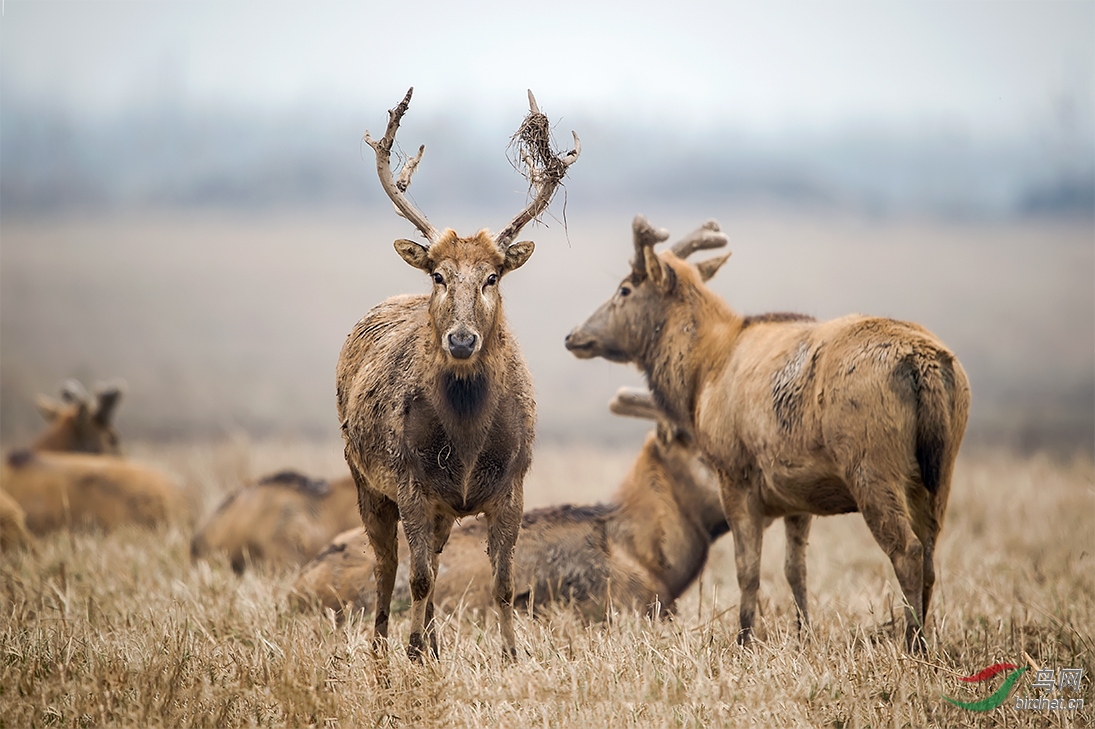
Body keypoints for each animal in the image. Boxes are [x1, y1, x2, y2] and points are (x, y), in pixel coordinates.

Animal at [335, 86, 578, 656]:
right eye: (439, 276)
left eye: (492, 277)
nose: (463, 339)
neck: (466, 444)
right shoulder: (409, 482)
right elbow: (419, 577)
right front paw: (410, 652)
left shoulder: (513, 484)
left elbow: (505, 581)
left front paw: (511, 652)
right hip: (362, 474)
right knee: (387, 565)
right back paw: (383, 645)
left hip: (439, 506)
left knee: (434, 556)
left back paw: (430, 642)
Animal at [569, 211, 972, 648]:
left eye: (624, 288)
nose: (574, 335)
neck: (702, 376)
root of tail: (925, 363)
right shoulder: (799, 492)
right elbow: (796, 570)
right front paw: (804, 632)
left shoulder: (734, 470)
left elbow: (747, 567)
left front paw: (744, 638)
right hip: (941, 468)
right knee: (930, 552)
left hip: (870, 461)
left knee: (908, 551)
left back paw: (913, 644)